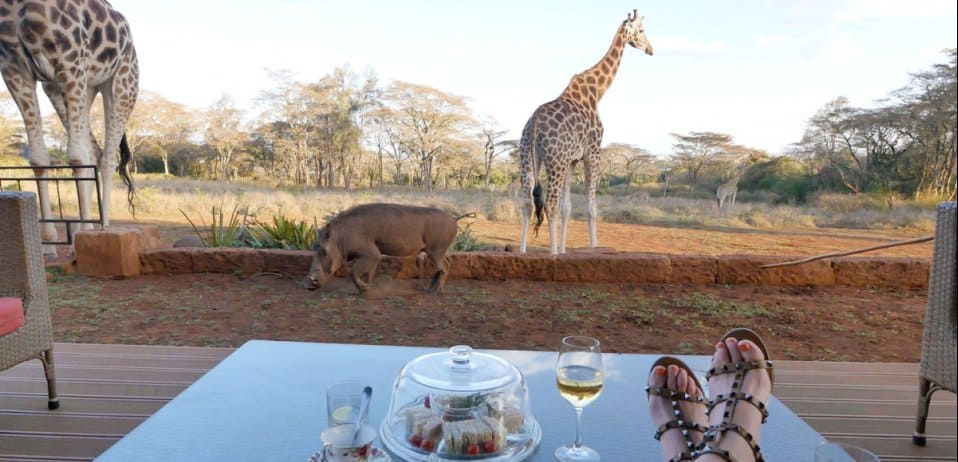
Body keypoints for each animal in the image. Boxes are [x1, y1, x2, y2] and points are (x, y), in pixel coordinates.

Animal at [0, 0, 138, 254]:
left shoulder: (68, 59)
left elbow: (75, 156)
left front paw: (86, 235)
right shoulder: (13, 69)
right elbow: (38, 158)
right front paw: (48, 243)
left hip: (122, 82)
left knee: (107, 158)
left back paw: (103, 226)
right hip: (67, 87)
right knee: (94, 151)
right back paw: (81, 234)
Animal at [518, 10, 653, 255]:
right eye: (641, 30)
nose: (650, 49)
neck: (596, 92)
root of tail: (534, 126)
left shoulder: (572, 160)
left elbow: (568, 207)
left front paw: (564, 250)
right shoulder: (593, 153)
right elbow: (591, 208)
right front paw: (592, 248)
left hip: (528, 158)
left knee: (527, 203)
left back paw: (523, 252)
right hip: (555, 161)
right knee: (549, 205)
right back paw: (551, 254)